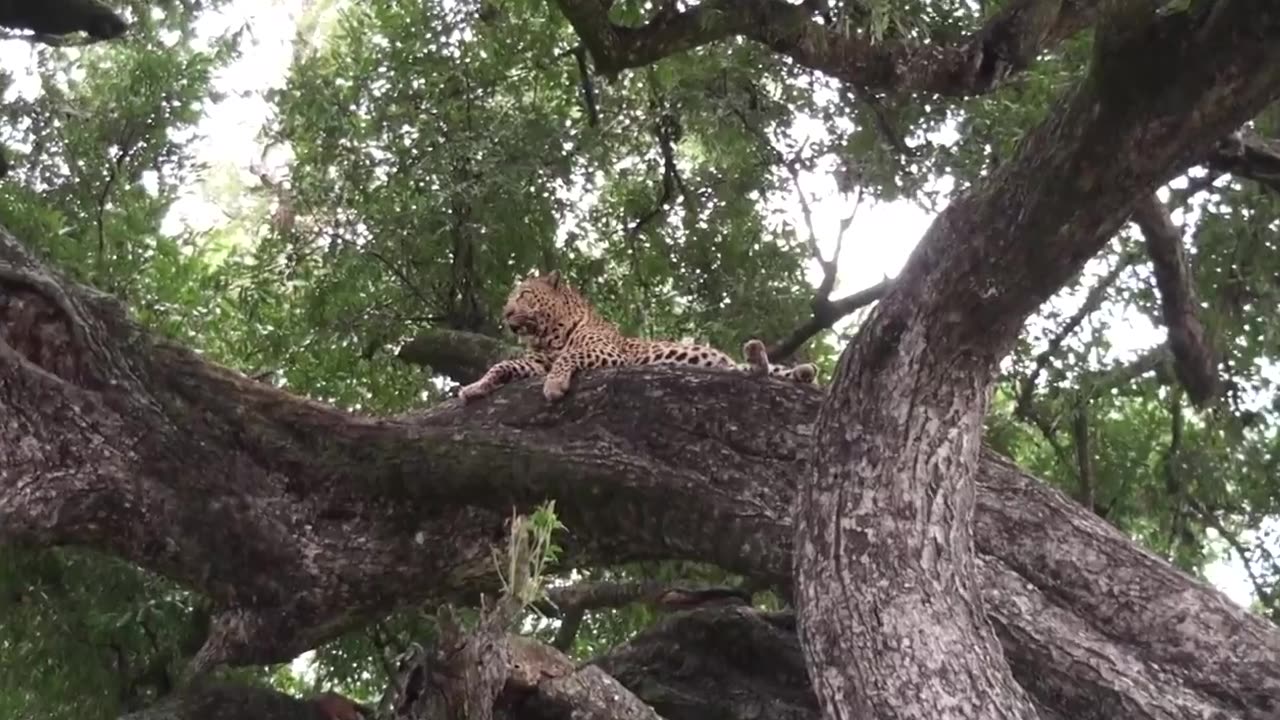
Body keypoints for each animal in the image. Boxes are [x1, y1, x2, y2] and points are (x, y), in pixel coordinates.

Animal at [460, 269, 819, 404]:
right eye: (509, 299)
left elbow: (570, 355)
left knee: (768, 371)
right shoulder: (536, 363)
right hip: (731, 368)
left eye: (523, 295)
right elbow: (502, 365)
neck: (549, 334)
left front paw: (555, 385)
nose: (505, 313)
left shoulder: (608, 352)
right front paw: (476, 387)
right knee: (763, 372)